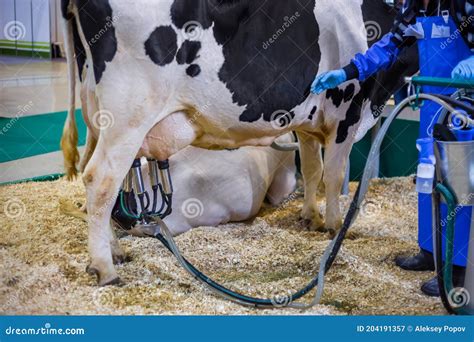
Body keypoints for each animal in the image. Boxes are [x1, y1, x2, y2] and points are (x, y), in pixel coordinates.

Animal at [61, 0, 416, 286]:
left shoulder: (306, 120)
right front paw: (335, 225)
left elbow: (312, 169)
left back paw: (115, 251)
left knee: (89, 172)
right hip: (129, 116)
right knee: (100, 180)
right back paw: (105, 268)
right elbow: (333, 175)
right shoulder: (346, 114)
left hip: (96, 115)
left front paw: (310, 217)